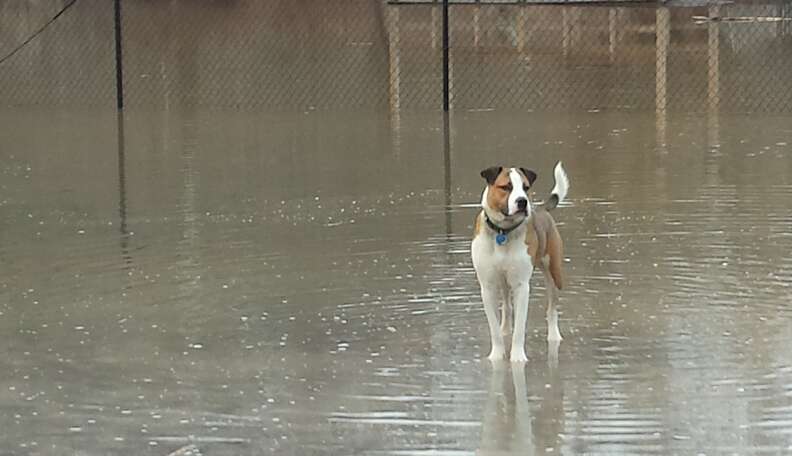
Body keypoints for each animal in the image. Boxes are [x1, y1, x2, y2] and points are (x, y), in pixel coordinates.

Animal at [470, 162, 568, 362]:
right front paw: (497, 355)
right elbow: (494, 327)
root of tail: (542, 209)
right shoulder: (488, 286)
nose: (522, 201)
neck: (502, 232)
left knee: (552, 306)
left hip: (553, 271)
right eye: (506, 187)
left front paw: (517, 357)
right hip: (503, 281)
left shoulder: (521, 286)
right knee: (507, 307)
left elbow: (521, 327)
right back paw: (505, 330)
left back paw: (554, 336)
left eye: (525, 187)